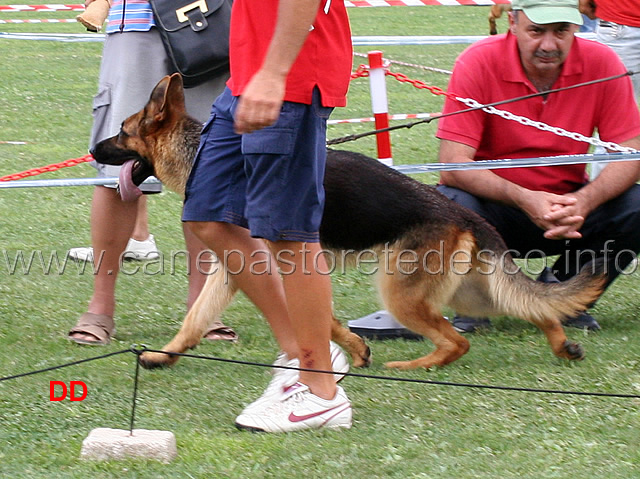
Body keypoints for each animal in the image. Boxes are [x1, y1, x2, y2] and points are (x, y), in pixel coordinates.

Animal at [91, 75, 604, 374]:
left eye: (121, 131)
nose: (93, 150)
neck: (197, 151)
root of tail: (464, 215)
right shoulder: (234, 264)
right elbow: (195, 317)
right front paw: (165, 355)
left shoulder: (275, 261)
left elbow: (322, 317)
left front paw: (350, 351)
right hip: (469, 292)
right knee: (537, 310)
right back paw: (563, 347)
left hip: (403, 295)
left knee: (457, 341)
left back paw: (412, 365)